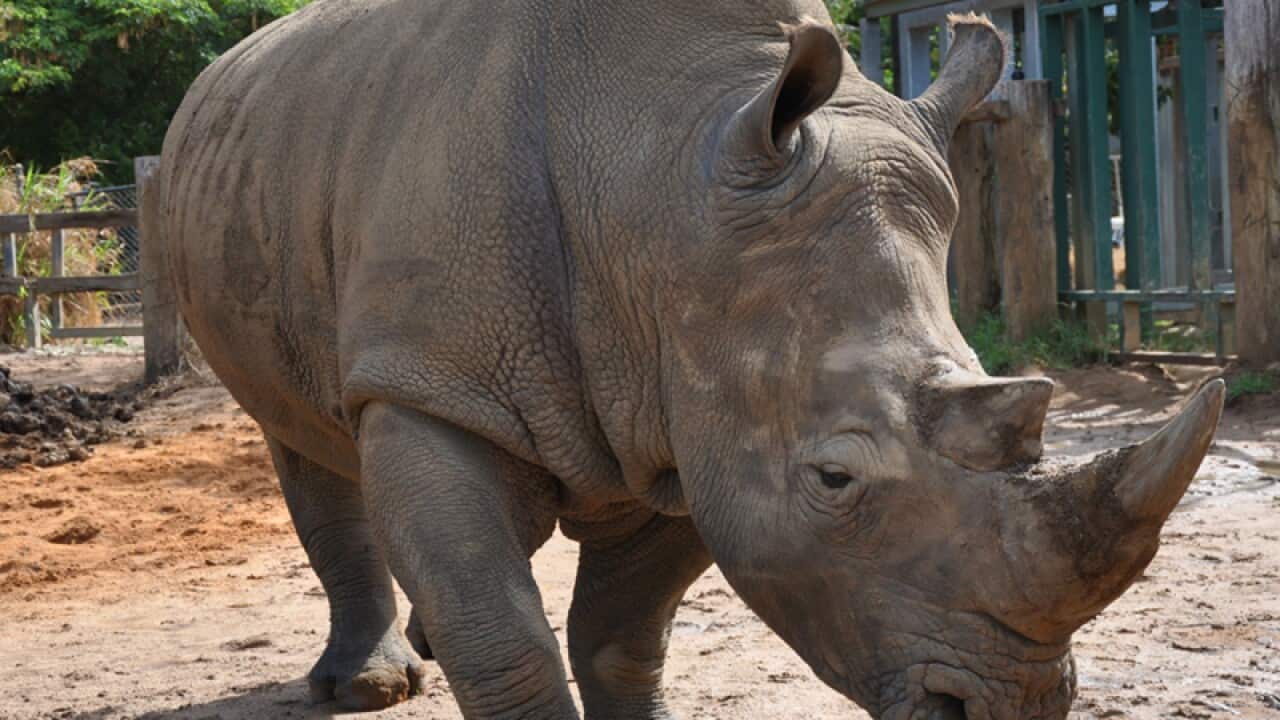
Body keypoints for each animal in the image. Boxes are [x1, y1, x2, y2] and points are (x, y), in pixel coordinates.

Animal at [158, 1, 1225, 718]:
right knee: (302, 438)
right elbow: (507, 643)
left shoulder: (697, 412)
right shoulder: (431, 381)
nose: (1010, 706)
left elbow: (624, 635)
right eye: (834, 479)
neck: (656, 188)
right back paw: (369, 686)